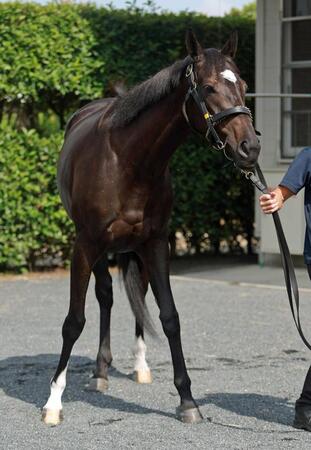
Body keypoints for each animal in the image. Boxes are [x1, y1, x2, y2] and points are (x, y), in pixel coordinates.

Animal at [41, 29, 260, 424]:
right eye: (208, 87)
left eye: (245, 85)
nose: (249, 147)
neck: (128, 160)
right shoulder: (84, 246)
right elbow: (74, 321)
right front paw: (53, 402)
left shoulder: (157, 244)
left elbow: (169, 316)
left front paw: (187, 400)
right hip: (99, 250)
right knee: (106, 296)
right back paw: (99, 372)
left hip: (134, 249)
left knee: (135, 297)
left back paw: (137, 367)